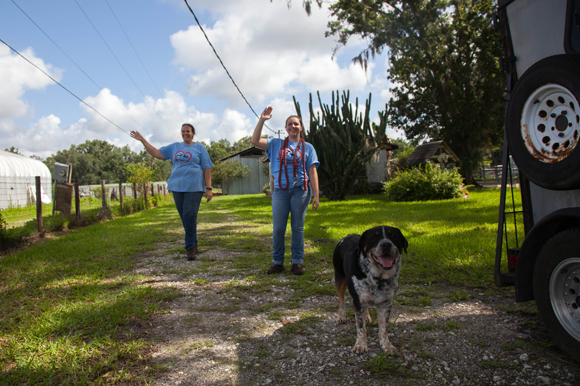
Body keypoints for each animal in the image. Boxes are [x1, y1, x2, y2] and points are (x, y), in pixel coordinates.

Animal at [334, 226, 410, 356]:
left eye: (393, 236)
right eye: (374, 237)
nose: (386, 244)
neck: (378, 278)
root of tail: (347, 236)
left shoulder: (386, 304)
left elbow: (384, 328)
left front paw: (387, 346)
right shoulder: (358, 302)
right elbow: (360, 327)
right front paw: (360, 345)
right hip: (340, 278)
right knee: (341, 300)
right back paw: (341, 316)